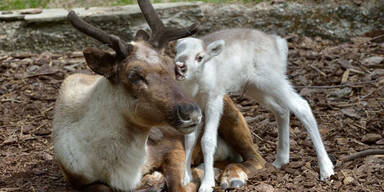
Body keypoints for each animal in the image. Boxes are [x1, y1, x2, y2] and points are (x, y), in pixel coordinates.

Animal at [176, 28, 334, 192]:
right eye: (177, 51)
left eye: (199, 57)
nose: (180, 66)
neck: (197, 86)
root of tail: (280, 44)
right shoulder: (195, 107)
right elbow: (189, 139)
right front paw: (186, 178)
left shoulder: (215, 98)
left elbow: (207, 140)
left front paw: (207, 184)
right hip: (255, 87)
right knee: (281, 110)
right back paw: (281, 160)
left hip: (272, 79)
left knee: (302, 106)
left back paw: (326, 169)